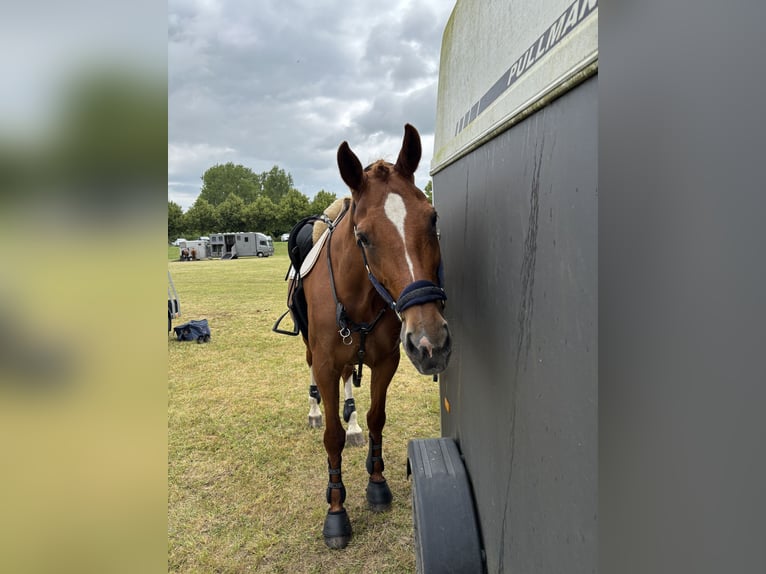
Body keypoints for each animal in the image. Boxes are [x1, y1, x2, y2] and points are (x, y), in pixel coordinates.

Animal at [291, 124, 452, 549]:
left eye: (433, 218)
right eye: (363, 237)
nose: (431, 343)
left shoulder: (385, 362)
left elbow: (377, 417)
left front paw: (376, 482)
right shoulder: (326, 365)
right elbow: (331, 436)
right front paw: (336, 509)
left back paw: (354, 426)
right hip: (313, 352)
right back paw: (316, 411)